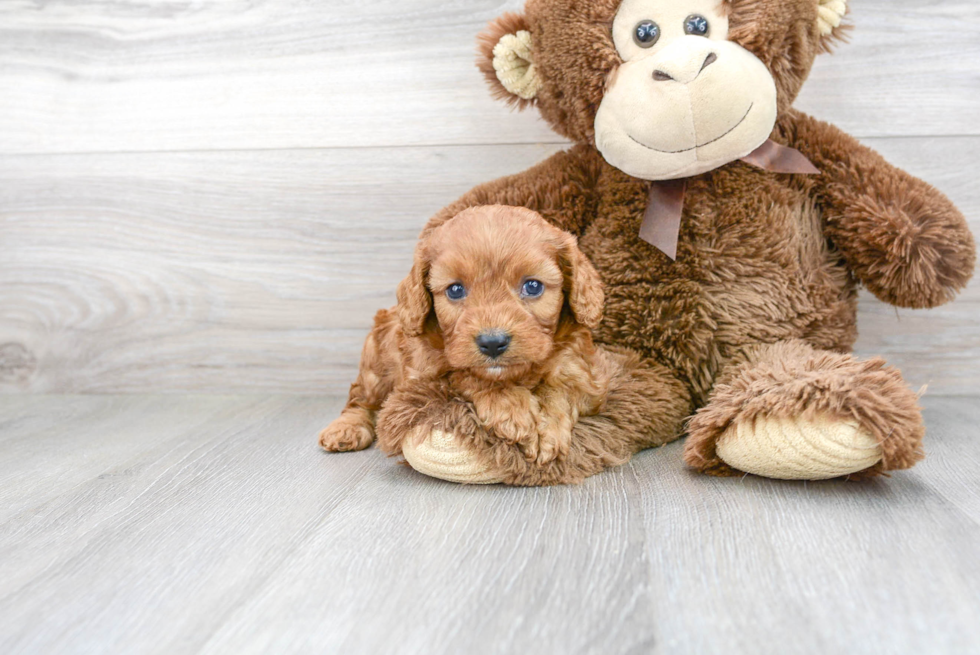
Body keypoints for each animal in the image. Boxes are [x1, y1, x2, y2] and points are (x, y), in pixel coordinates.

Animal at [322, 205, 608, 466]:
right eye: (455, 289)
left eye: (533, 286)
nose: (492, 343)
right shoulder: (421, 378)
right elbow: (462, 375)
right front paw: (510, 407)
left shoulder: (586, 375)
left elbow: (562, 387)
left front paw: (547, 426)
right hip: (375, 363)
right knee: (359, 400)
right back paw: (346, 429)